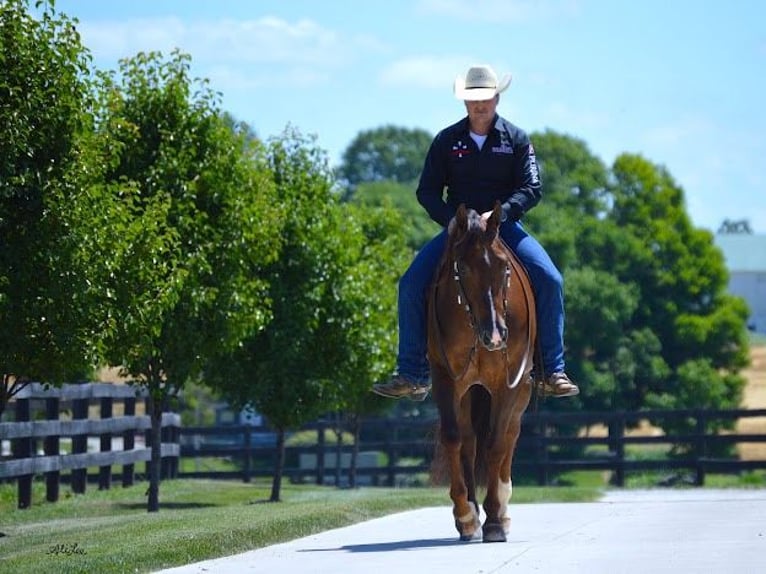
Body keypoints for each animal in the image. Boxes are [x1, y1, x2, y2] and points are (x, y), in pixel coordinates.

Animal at [428, 204, 536, 544]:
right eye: (463, 267)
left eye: (504, 267)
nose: (496, 335)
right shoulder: (445, 379)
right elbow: (454, 439)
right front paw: (466, 516)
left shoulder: (508, 383)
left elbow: (496, 444)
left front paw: (494, 521)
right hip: (469, 392)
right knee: (468, 440)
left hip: (520, 392)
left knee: (510, 435)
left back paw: (502, 508)